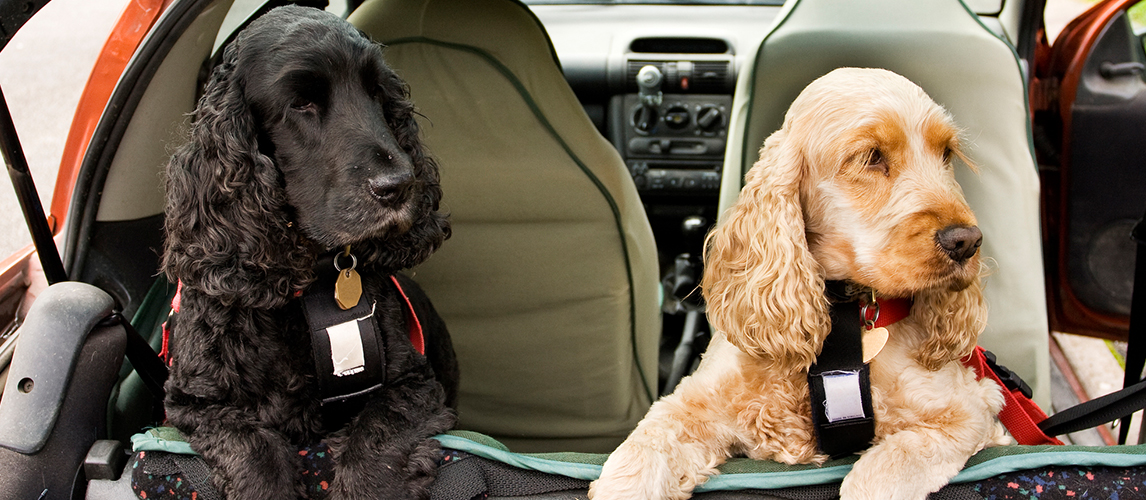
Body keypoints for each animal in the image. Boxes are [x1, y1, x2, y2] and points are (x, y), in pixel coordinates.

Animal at [161, 5, 456, 497]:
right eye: (301, 104)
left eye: (377, 93)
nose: (399, 186)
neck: (310, 279)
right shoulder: (196, 402)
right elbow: (252, 449)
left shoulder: (413, 384)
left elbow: (375, 441)